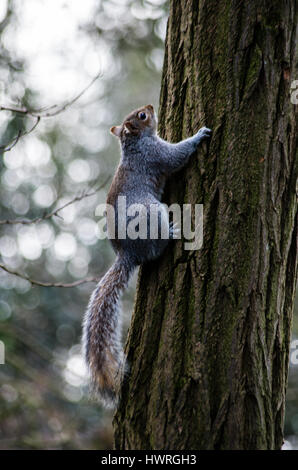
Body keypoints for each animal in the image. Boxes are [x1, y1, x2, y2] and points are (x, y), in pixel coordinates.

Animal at [82, 104, 211, 406]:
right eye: (141, 116)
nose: (151, 107)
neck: (134, 144)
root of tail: (128, 253)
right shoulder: (156, 154)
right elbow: (177, 156)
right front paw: (199, 135)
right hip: (152, 213)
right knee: (156, 247)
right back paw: (173, 233)